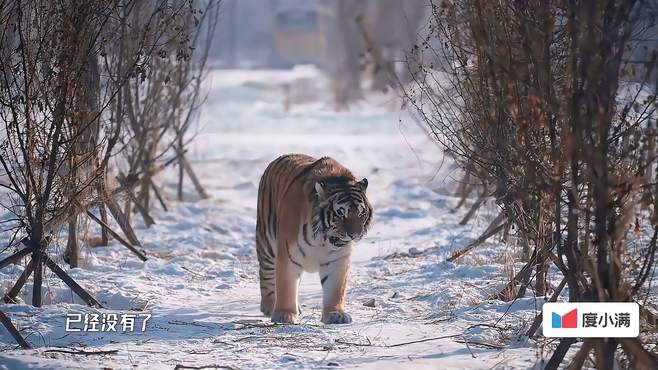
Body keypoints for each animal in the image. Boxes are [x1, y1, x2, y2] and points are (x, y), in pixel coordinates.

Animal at [255, 153, 372, 324]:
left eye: (361, 213)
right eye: (340, 213)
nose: (355, 235)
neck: (322, 240)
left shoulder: (337, 261)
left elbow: (335, 289)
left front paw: (335, 314)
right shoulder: (288, 255)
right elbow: (286, 285)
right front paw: (284, 314)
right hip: (267, 245)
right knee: (266, 275)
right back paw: (270, 306)